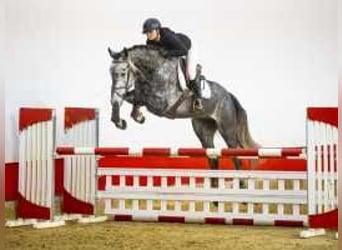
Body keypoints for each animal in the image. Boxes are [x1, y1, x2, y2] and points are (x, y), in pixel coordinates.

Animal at [107, 44, 256, 174]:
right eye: (110, 73)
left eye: (123, 72)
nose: (114, 95)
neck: (153, 71)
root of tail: (229, 96)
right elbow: (131, 97)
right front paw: (123, 119)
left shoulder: (162, 104)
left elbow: (139, 98)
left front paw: (133, 116)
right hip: (204, 130)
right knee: (213, 159)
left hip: (227, 130)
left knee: (236, 158)